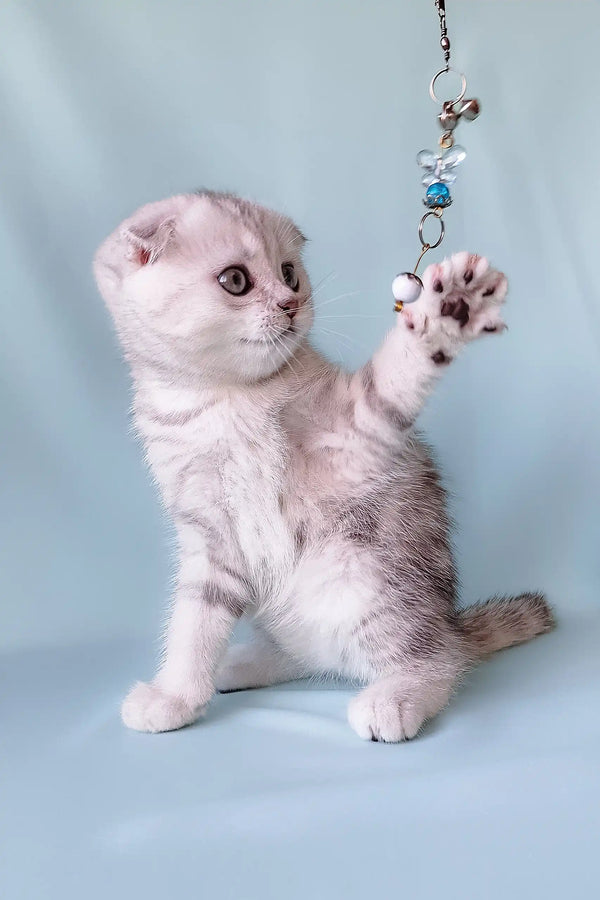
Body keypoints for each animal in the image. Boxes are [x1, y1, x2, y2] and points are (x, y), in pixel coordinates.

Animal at [92, 188, 552, 740]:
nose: (291, 304)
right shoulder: (210, 531)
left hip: (365, 577)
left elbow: (389, 381)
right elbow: (195, 621)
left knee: (438, 659)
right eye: (236, 280)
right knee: (312, 654)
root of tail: (449, 623)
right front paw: (176, 696)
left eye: (290, 273)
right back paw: (243, 663)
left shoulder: (352, 438)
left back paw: (396, 696)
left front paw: (446, 313)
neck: (220, 397)